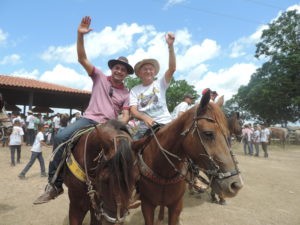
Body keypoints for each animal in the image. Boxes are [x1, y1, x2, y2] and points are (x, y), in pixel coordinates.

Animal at [133, 92, 244, 225]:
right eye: (208, 133)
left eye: (227, 135)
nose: (235, 185)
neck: (164, 173)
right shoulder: (147, 205)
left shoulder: (176, 206)